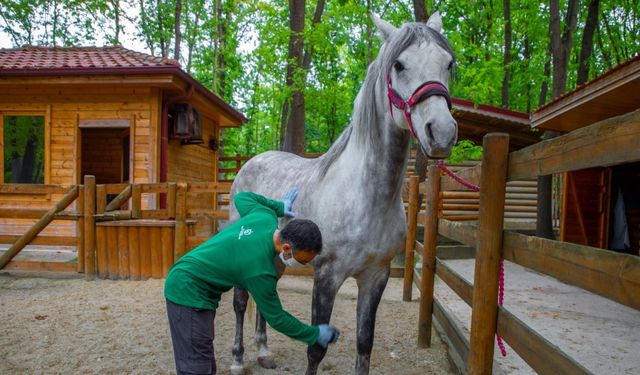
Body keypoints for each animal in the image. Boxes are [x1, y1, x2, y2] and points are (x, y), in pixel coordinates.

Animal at [228, 12, 458, 375]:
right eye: (399, 64)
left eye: (449, 63)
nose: (442, 132)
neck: (366, 197)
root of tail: (250, 163)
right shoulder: (327, 276)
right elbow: (316, 349)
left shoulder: (375, 277)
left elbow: (364, 343)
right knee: (240, 303)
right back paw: (238, 360)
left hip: (274, 256)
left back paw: (264, 352)